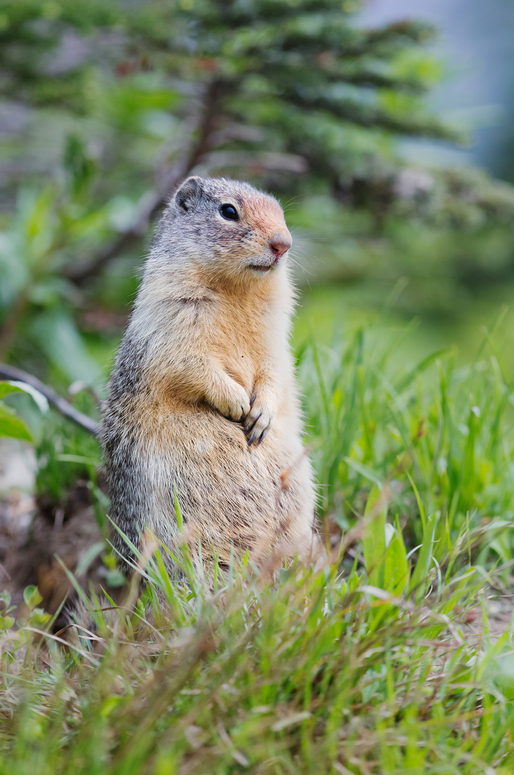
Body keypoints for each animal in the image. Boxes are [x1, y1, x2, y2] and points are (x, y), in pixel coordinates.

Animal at [102, 176, 320, 576]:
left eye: (280, 211)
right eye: (228, 211)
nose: (283, 243)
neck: (239, 291)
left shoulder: (276, 340)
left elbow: (276, 371)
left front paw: (260, 415)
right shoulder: (172, 320)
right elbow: (192, 365)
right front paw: (236, 404)